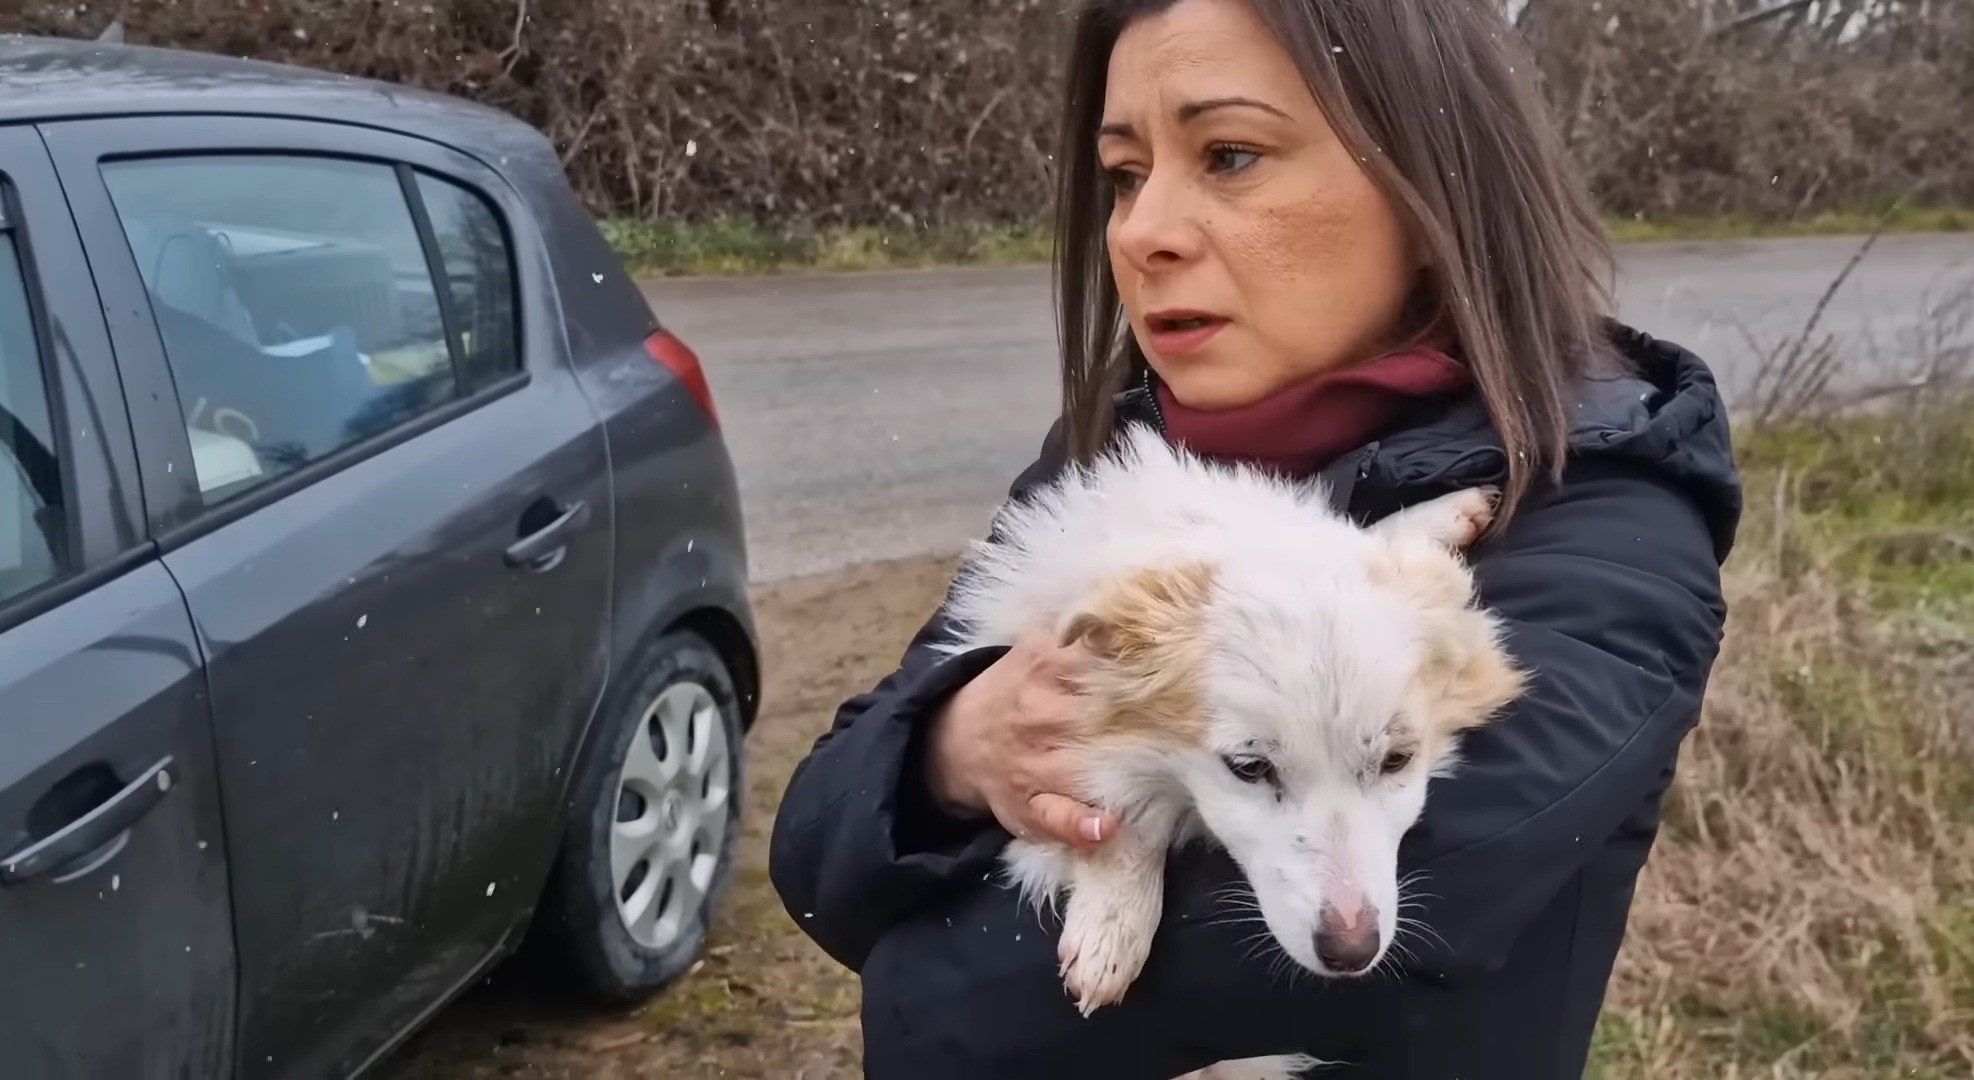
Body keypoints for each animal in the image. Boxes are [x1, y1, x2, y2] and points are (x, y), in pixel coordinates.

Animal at [931, 426, 1516, 1074]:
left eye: (1397, 760)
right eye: (1250, 768)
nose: (1351, 952)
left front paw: (1442, 514)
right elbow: (1122, 818)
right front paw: (1113, 924)